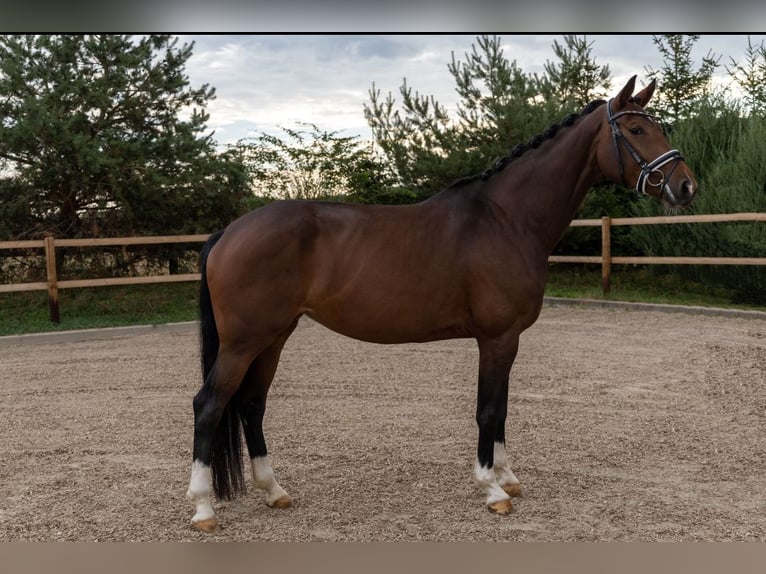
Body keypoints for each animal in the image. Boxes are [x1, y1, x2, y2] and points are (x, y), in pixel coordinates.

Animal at [188, 76, 704, 536]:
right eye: (635, 129)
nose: (686, 186)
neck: (507, 219)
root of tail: (228, 232)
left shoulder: (507, 340)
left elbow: (503, 408)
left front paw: (508, 478)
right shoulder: (497, 338)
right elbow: (488, 410)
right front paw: (492, 490)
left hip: (274, 336)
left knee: (251, 404)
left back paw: (274, 490)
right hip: (243, 342)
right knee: (210, 405)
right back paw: (203, 508)